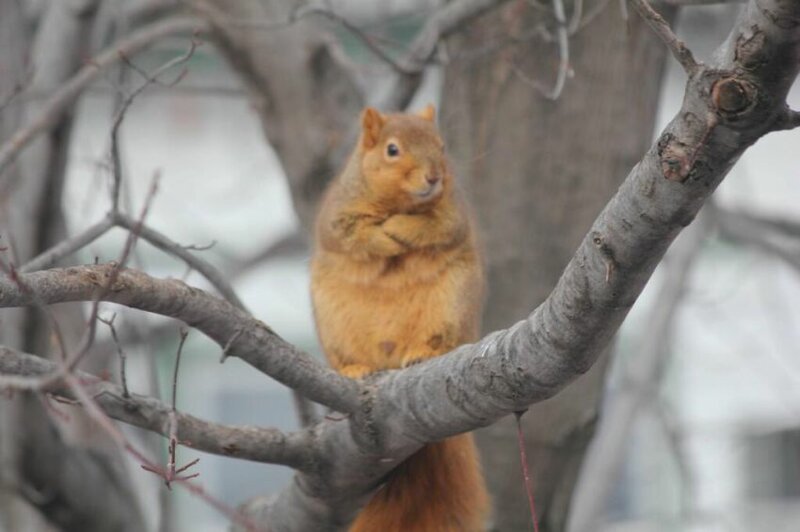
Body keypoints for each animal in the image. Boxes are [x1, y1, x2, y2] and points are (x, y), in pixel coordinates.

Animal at [310, 105, 488, 532]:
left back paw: (422, 352)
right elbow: (352, 235)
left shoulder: (451, 214)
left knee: (438, 339)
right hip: (333, 325)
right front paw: (383, 235)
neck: (398, 202)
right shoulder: (338, 216)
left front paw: (398, 228)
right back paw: (354, 368)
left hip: (451, 307)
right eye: (392, 150)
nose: (434, 177)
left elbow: (434, 227)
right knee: (349, 358)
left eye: (441, 146)